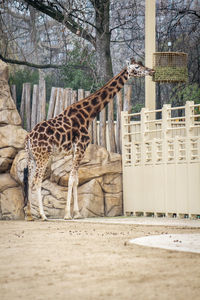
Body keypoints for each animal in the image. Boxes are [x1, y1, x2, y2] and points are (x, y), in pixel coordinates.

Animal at [23, 58, 155, 220]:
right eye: (137, 67)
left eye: (142, 64)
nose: (151, 71)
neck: (88, 114)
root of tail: (29, 137)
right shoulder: (81, 147)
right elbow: (72, 179)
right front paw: (67, 215)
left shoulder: (75, 151)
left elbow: (76, 180)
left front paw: (77, 213)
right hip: (43, 156)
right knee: (36, 181)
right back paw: (43, 215)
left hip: (31, 157)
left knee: (29, 181)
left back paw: (29, 215)